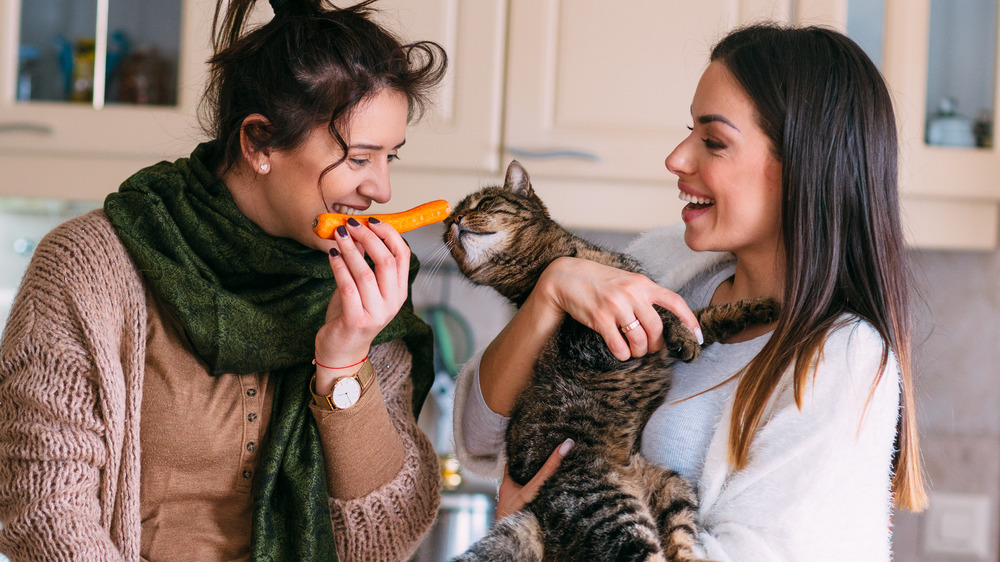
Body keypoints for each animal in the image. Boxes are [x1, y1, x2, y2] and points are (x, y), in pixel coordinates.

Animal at [446, 160, 780, 556]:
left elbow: (699, 316)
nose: (454, 221)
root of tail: (538, 509)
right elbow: (664, 313)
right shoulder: (595, 336)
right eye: (447, 222)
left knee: (681, 542)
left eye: (483, 203)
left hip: (674, 490)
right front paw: (686, 336)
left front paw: (760, 307)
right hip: (606, 504)